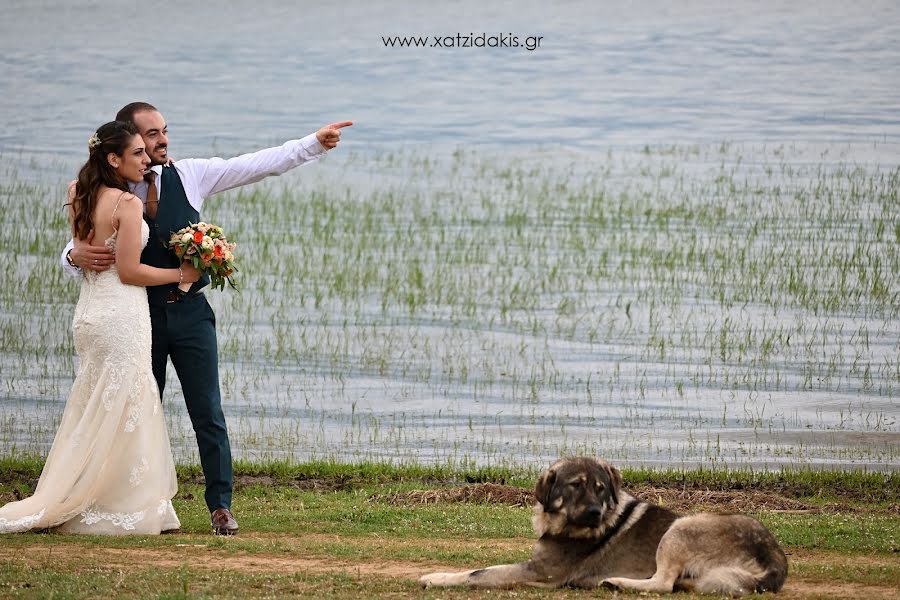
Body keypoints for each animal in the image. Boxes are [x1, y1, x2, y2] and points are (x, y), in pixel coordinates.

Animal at [418, 460, 784, 596]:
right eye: (576, 486)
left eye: (601, 488)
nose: (595, 513)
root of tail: (775, 559)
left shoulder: (540, 571)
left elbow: (477, 572)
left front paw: (435, 577)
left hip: (681, 528)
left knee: (663, 583)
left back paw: (615, 582)